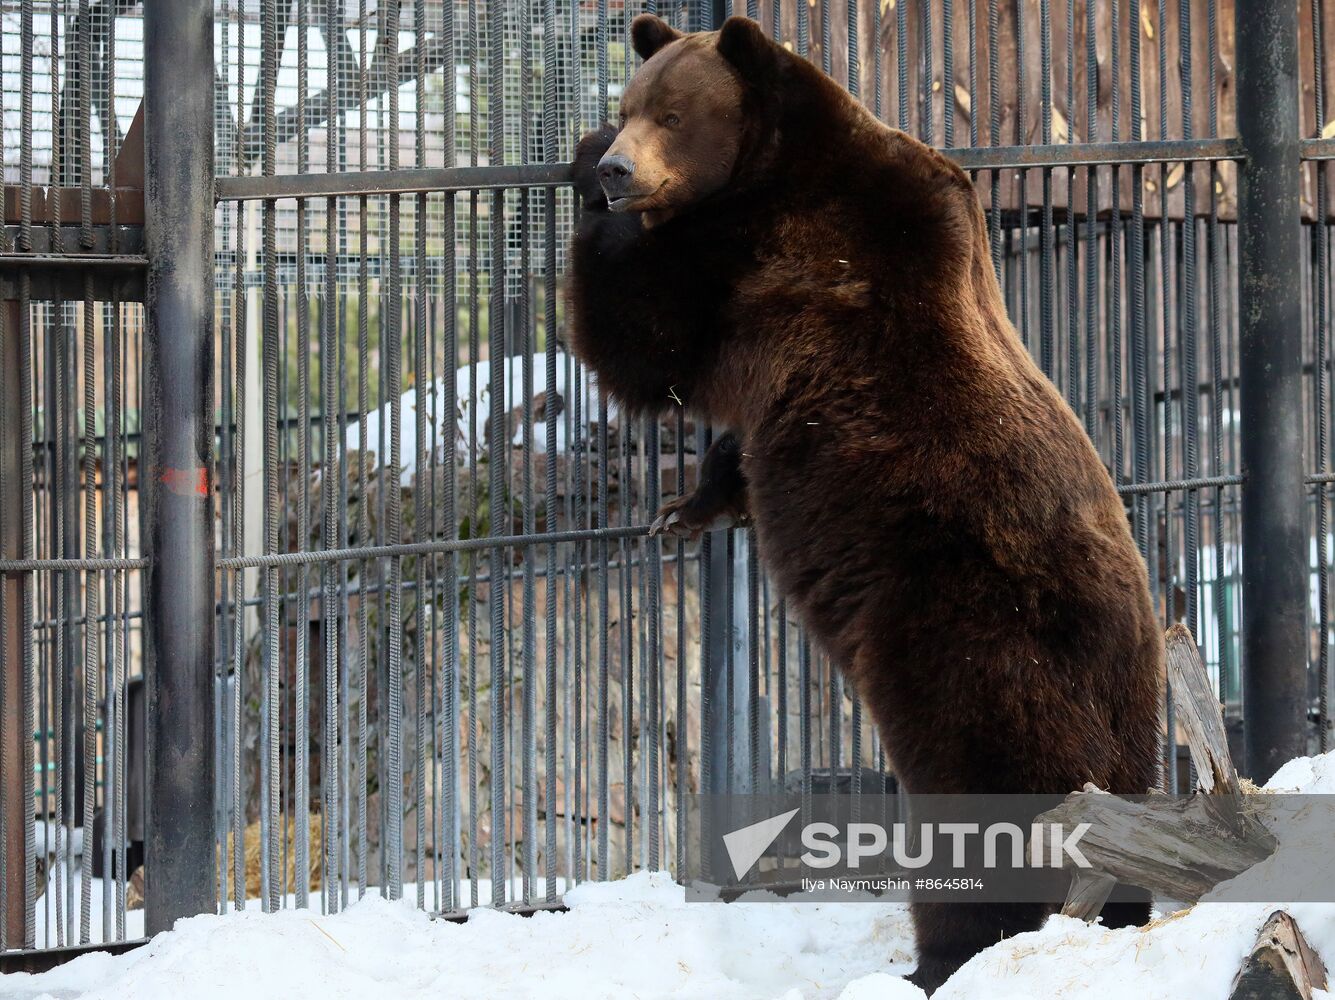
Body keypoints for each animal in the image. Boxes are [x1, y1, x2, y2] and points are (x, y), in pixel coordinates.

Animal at [568, 13, 1164, 993]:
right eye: (632, 103)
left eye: (670, 113)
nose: (619, 167)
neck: (778, 165)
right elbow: (722, 438)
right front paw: (688, 508)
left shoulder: (770, 262)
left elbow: (645, 341)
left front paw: (580, 174)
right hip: (1121, 716)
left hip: (970, 654)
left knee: (982, 824)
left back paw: (945, 959)